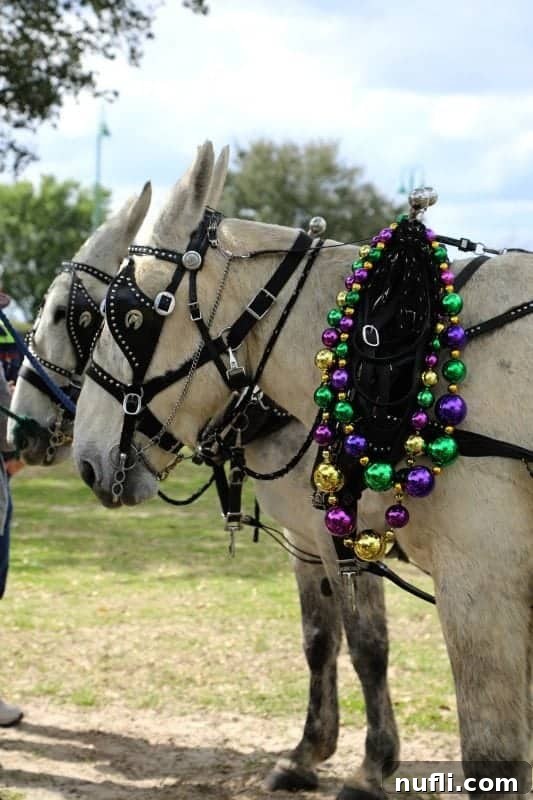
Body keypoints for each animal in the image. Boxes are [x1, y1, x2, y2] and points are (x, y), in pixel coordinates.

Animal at [10, 146, 399, 797]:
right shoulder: (303, 537)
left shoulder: (348, 536)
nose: (20, 432)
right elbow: (319, 638)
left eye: (69, 312)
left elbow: (368, 644)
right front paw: (307, 752)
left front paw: (373, 767)